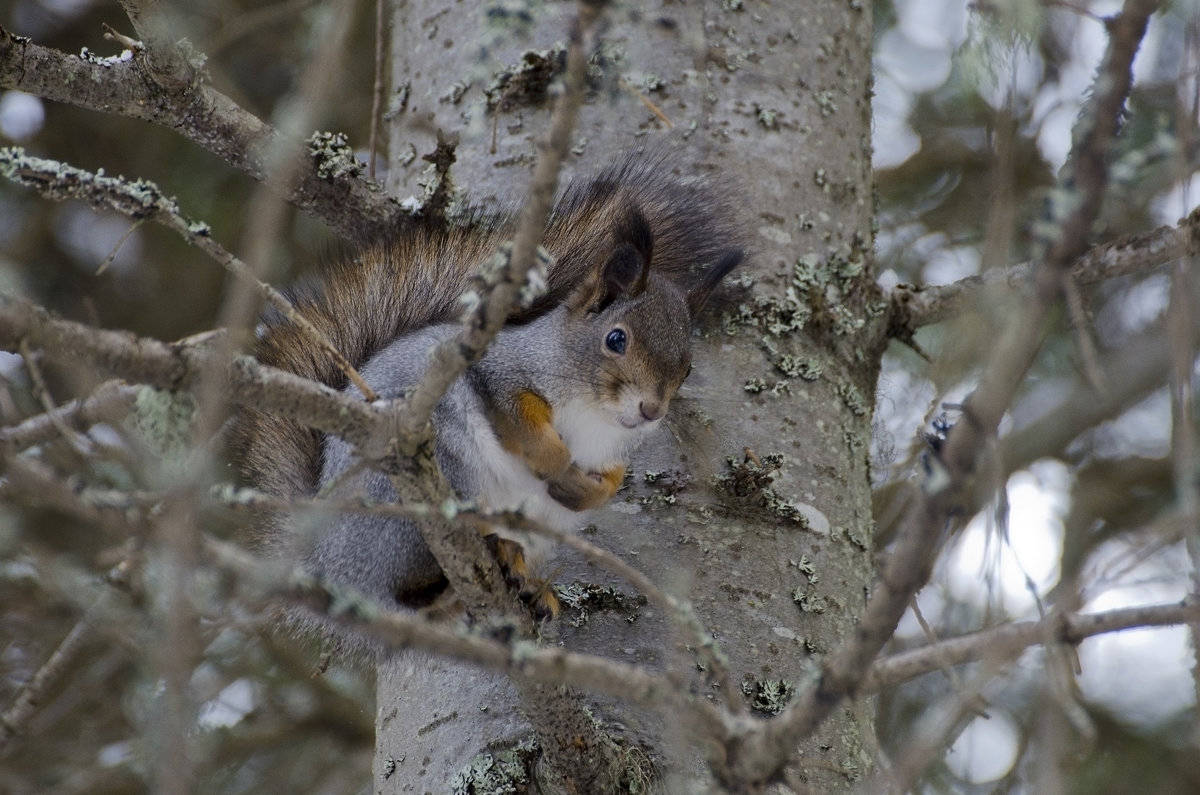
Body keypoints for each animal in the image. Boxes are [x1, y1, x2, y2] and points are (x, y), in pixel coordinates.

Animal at [230, 157, 744, 653]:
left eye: (689, 369)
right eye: (616, 339)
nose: (651, 410)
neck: (597, 415)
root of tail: (325, 564)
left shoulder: (612, 453)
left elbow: (611, 482)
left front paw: (582, 490)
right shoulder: (498, 374)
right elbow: (524, 422)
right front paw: (556, 464)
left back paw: (526, 583)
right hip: (422, 491)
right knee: (409, 589)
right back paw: (476, 558)